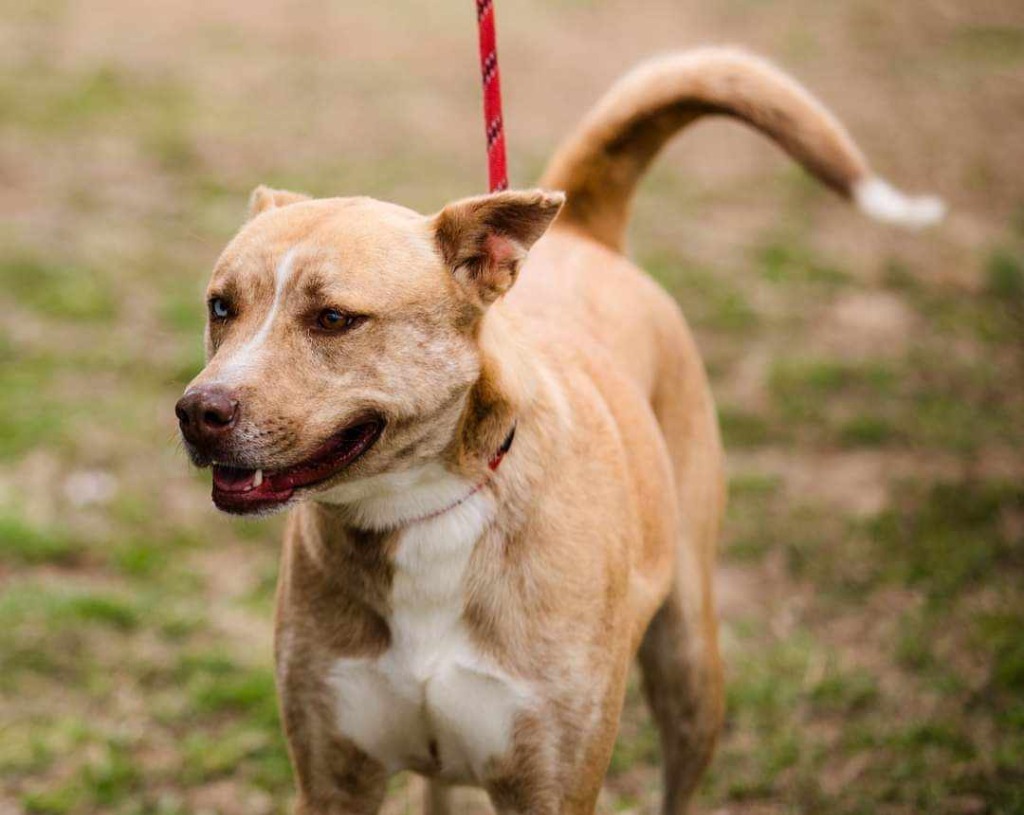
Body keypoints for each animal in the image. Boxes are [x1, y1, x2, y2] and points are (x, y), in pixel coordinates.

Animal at [178, 49, 942, 815]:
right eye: (220, 307)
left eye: (334, 319)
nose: (197, 412)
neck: (419, 514)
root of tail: (582, 232)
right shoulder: (334, 776)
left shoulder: (551, 779)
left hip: (690, 665)